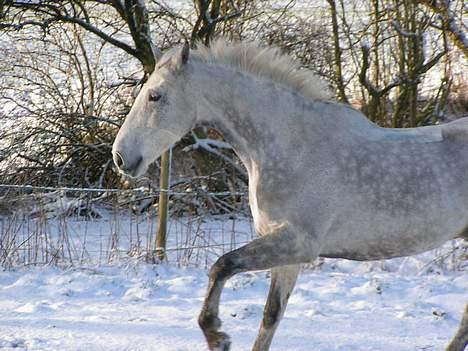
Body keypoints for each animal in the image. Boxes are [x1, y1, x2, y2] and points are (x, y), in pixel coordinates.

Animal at [112, 40, 468, 350]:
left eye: (155, 96)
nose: (120, 158)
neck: (290, 146)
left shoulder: (297, 244)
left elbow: (223, 265)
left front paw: (217, 335)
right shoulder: (287, 253)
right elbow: (270, 316)